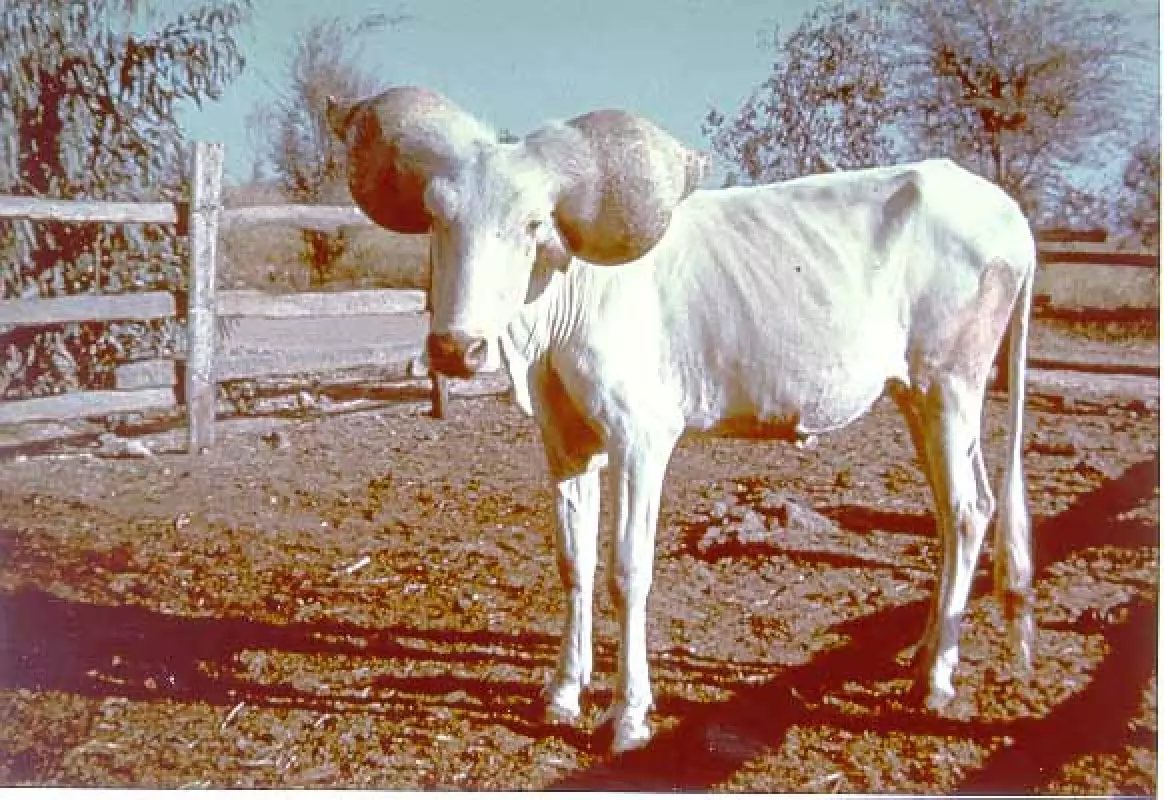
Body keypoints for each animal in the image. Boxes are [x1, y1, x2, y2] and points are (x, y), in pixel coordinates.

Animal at [328, 87, 1038, 759]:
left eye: (531, 223)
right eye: (438, 218)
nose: (457, 349)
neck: (562, 311)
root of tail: (1010, 219)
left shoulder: (640, 441)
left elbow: (627, 571)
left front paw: (629, 716)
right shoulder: (565, 445)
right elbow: (573, 561)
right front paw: (562, 694)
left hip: (951, 386)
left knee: (967, 510)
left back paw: (937, 678)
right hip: (918, 398)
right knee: (960, 512)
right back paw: (921, 657)